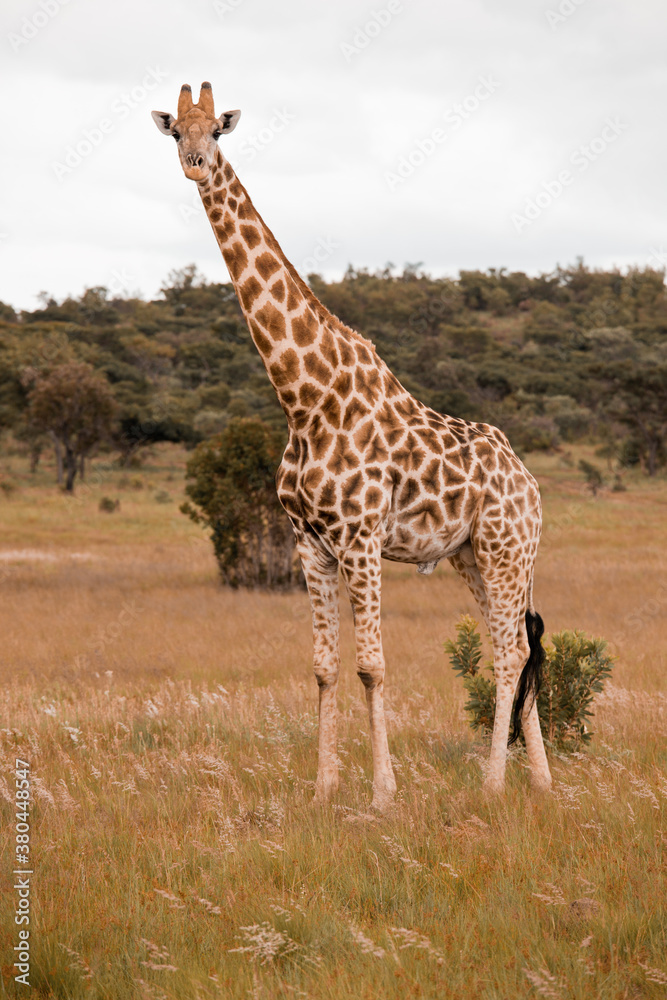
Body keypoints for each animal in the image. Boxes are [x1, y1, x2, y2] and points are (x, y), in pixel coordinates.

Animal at [152, 83, 552, 809]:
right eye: (175, 133)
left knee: (511, 651)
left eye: (216, 131)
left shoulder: (361, 538)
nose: (195, 164)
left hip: (506, 549)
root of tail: (530, 484)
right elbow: (322, 667)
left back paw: (491, 786)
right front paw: (322, 790)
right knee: (510, 642)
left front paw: (382, 795)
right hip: (472, 555)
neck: (303, 398)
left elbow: (371, 665)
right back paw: (538, 783)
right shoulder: (309, 541)